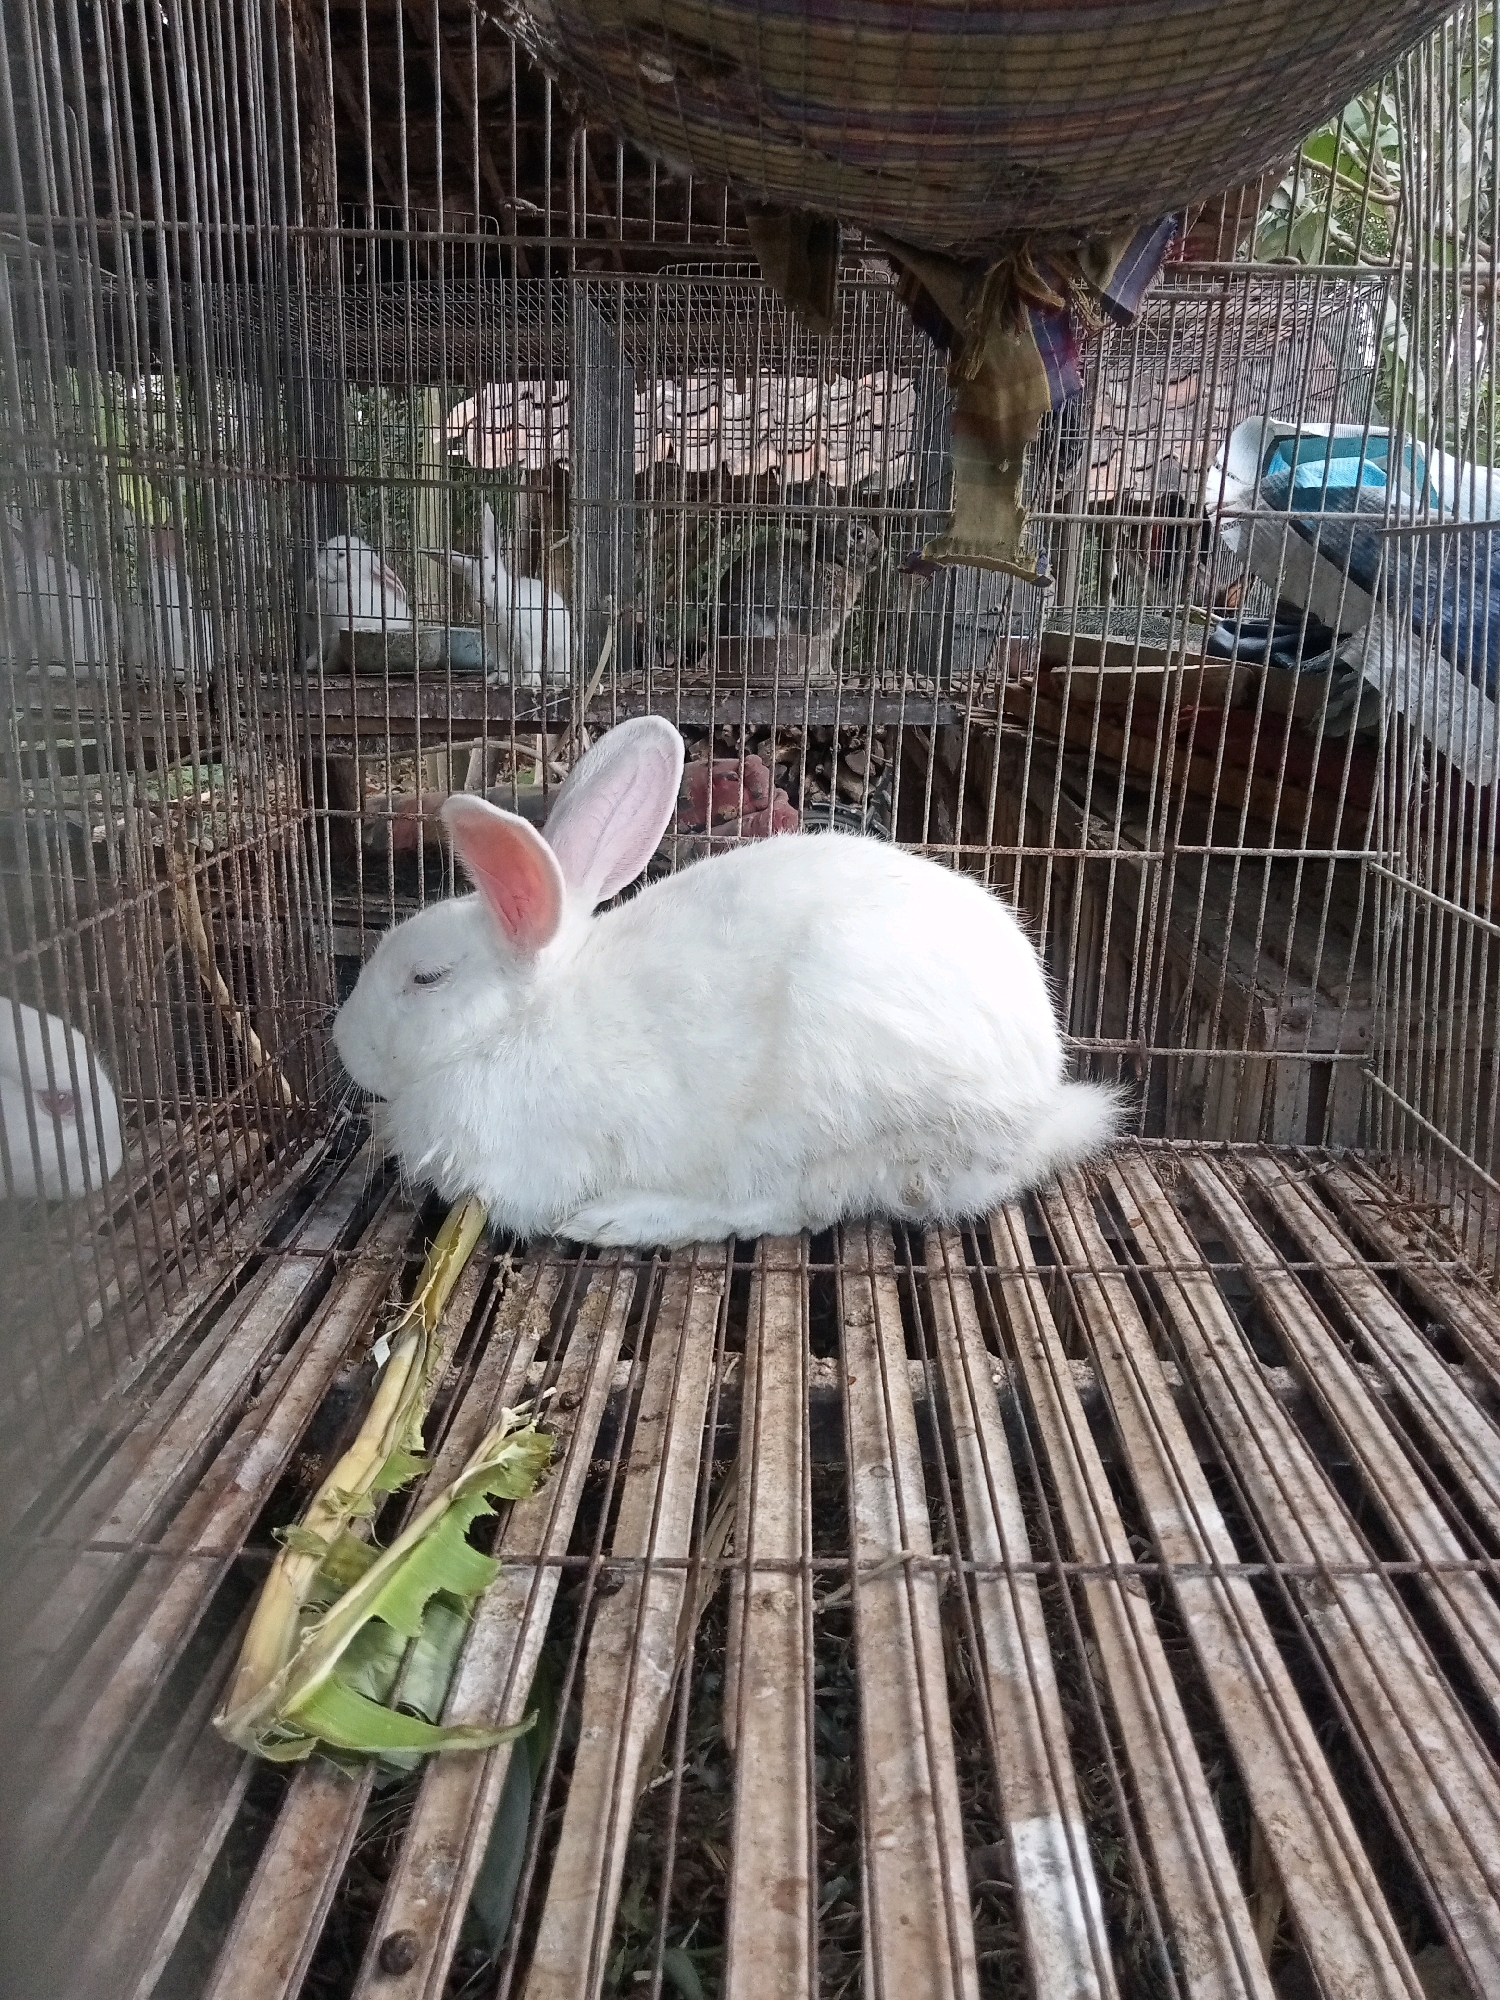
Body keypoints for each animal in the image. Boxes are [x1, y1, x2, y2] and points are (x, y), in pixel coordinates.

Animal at [304, 534, 410, 667]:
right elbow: (319, 646)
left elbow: (331, 650)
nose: (317, 572)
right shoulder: (322, 625)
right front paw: (310, 663)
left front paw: (327, 666)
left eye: (341, 554)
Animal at [333, 715, 1121, 1249]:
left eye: (426, 977)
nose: (343, 1042)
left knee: (783, 1206)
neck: (523, 1022)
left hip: (831, 1117)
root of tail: (1035, 1111)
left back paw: (619, 1219)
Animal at [442, 503, 570, 687]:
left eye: (493, 577)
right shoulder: (498, 646)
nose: (481, 600)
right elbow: (502, 664)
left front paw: (529, 682)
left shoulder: (529, 641)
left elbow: (531, 662)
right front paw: (499, 679)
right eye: (469, 584)